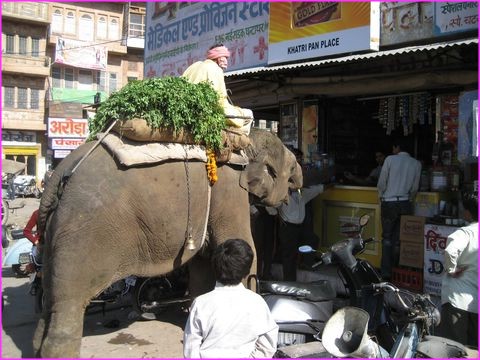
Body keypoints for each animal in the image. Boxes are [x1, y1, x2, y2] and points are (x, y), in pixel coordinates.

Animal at [33, 127, 302, 358]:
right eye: (290, 167)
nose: (298, 182)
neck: (246, 144)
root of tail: (59, 173)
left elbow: (203, 262)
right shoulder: (228, 188)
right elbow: (239, 244)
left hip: (55, 233)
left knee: (49, 297)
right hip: (83, 231)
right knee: (69, 302)